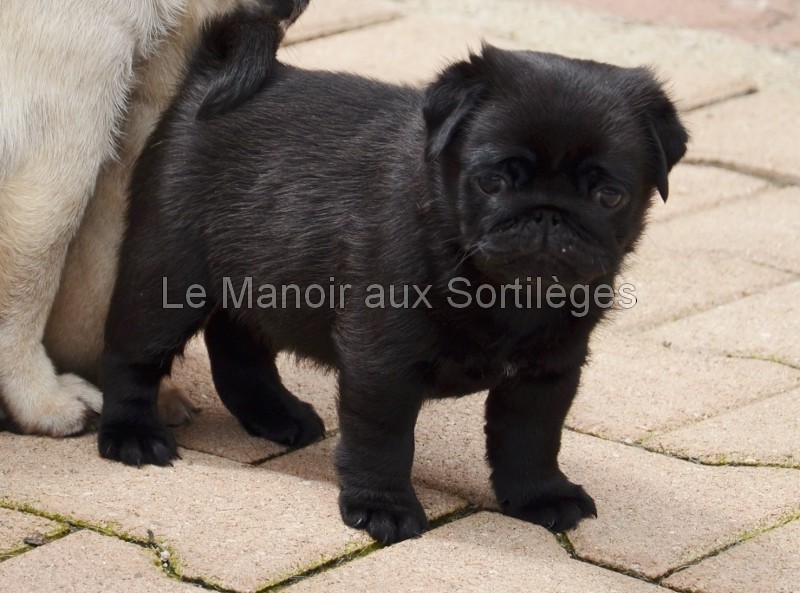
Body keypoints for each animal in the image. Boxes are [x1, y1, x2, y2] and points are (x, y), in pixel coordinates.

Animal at [98, 11, 688, 544]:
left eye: (609, 195)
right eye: (492, 181)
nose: (547, 214)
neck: (502, 291)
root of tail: (210, 73)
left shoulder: (546, 372)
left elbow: (531, 440)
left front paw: (539, 496)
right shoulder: (382, 362)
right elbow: (383, 440)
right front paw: (382, 507)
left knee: (237, 344)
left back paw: (274, 414)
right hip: (168, 279)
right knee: (132, 356)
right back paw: (132, 435)